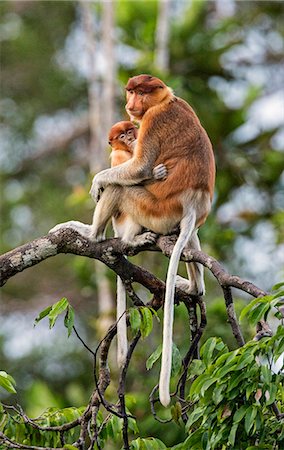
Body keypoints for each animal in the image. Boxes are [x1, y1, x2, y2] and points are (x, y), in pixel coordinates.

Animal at [50, 74, 215, 408]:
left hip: (153, 209)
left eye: (141, 92)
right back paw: (193, 286)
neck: (166, 100)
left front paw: (98, 181)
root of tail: (193, 201)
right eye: (131, 91)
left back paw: (92, 233)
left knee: (120, 187)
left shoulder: (151, 121)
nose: (131, 104)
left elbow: (138, 169)